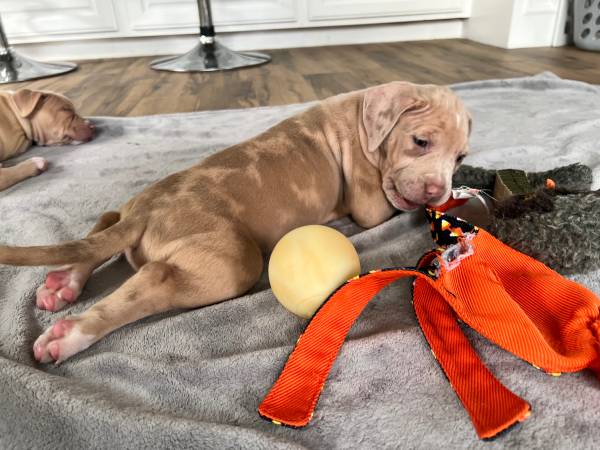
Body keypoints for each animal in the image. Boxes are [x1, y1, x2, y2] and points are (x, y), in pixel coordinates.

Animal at [0, 81, 471, 363]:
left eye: (460, 156)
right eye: (420, 141)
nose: (438, 190)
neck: (363, 116)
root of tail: (145, 212)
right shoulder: (369, 201)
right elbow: (392, 206)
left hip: (126, 210)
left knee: (103, 222)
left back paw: (64, 283)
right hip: (233, 261)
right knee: (153, 279)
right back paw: (70, 334)